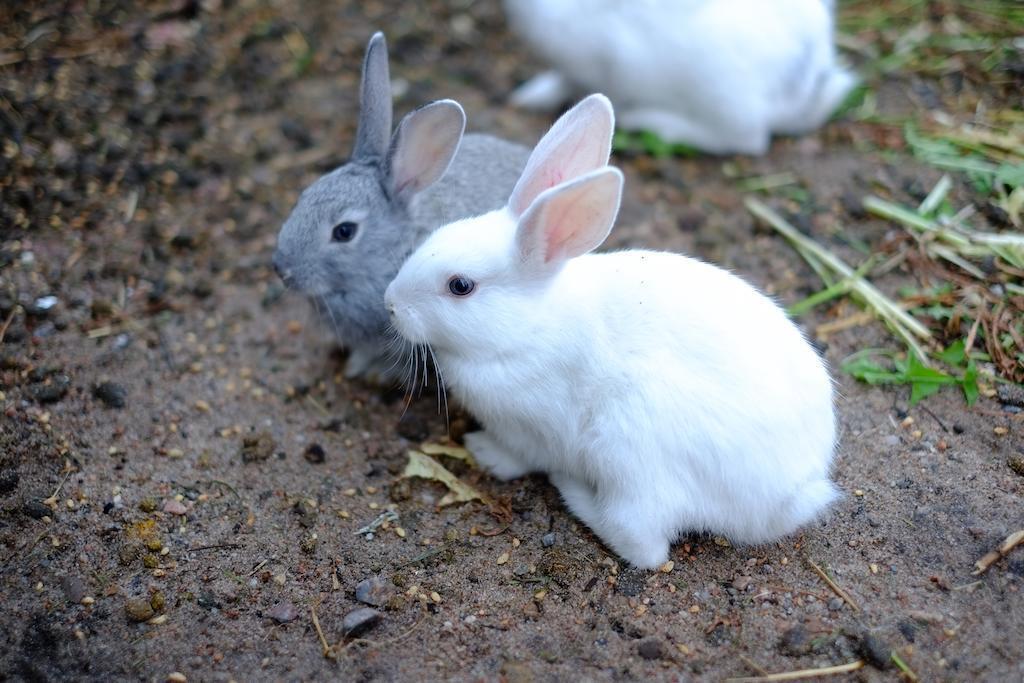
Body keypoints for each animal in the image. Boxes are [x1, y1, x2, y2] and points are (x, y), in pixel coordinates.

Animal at [385, 93, 831, 569]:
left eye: (460, 286)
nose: (390, 305)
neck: (528, 327)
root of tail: (794, 496)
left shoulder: (529, 428)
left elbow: (517, 456)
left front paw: (483, 452)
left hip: (629, 452)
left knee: (641, 544)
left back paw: (573, 492)